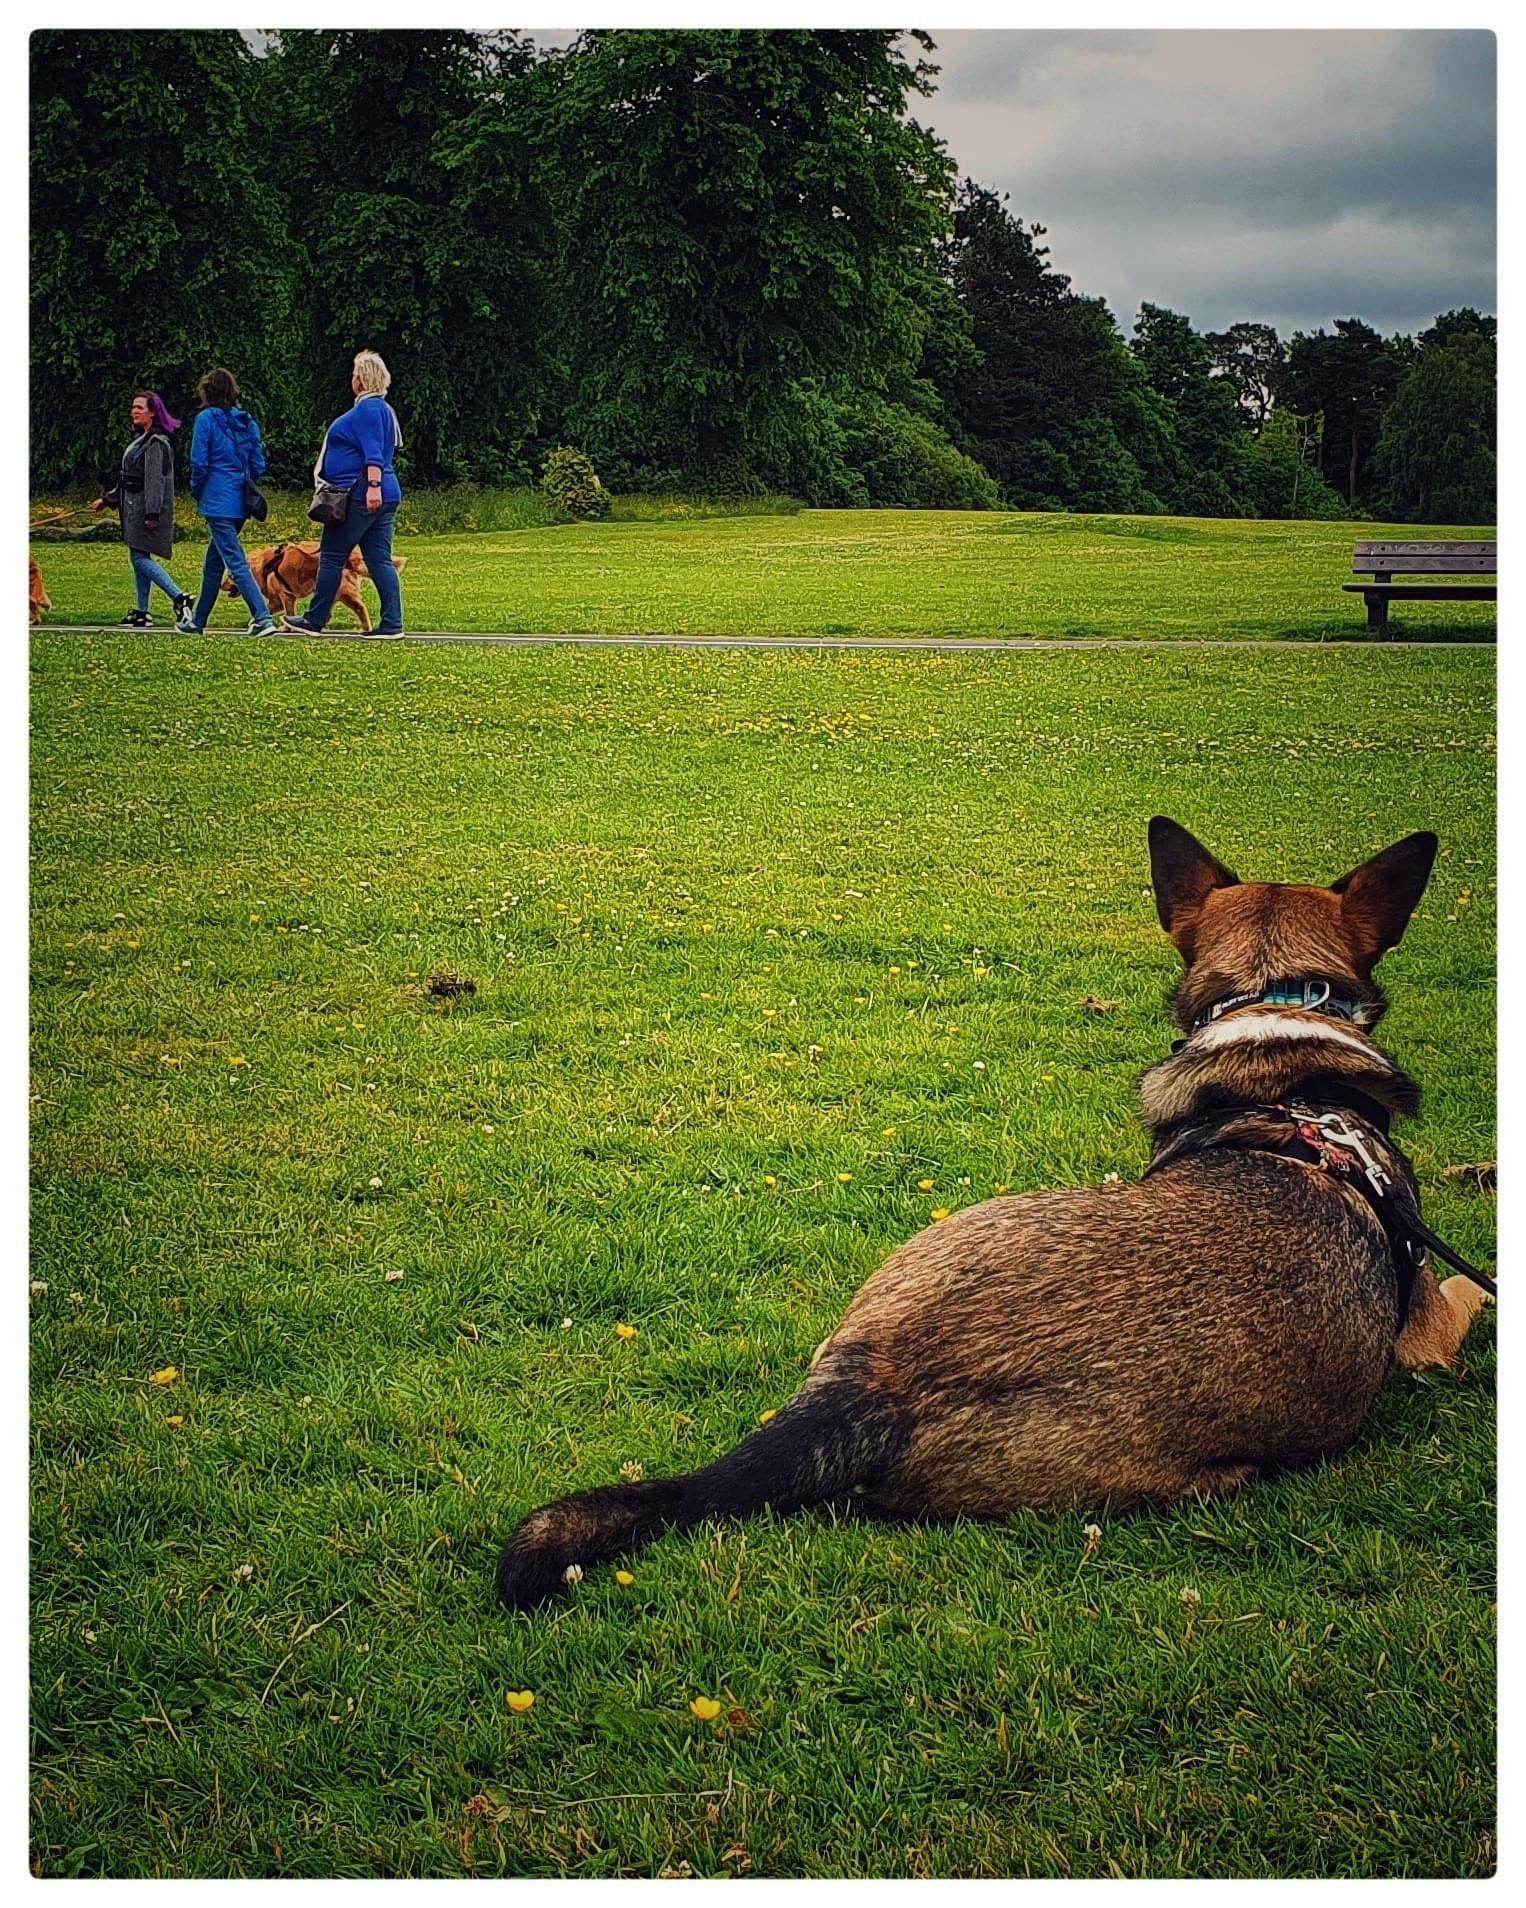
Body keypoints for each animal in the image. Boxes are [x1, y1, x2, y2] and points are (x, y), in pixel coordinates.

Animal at [224, 542, 406, 632]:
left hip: (344, 592)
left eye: (230, 576)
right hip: (333, 592)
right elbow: (269, 609)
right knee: (328, 611)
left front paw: (286, 627)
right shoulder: (276, 600)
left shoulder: (286, 596)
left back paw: (366, 628)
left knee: (360, 608)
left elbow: (288, 612)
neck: (264, 566)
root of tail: (352, 556)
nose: (221, 585)